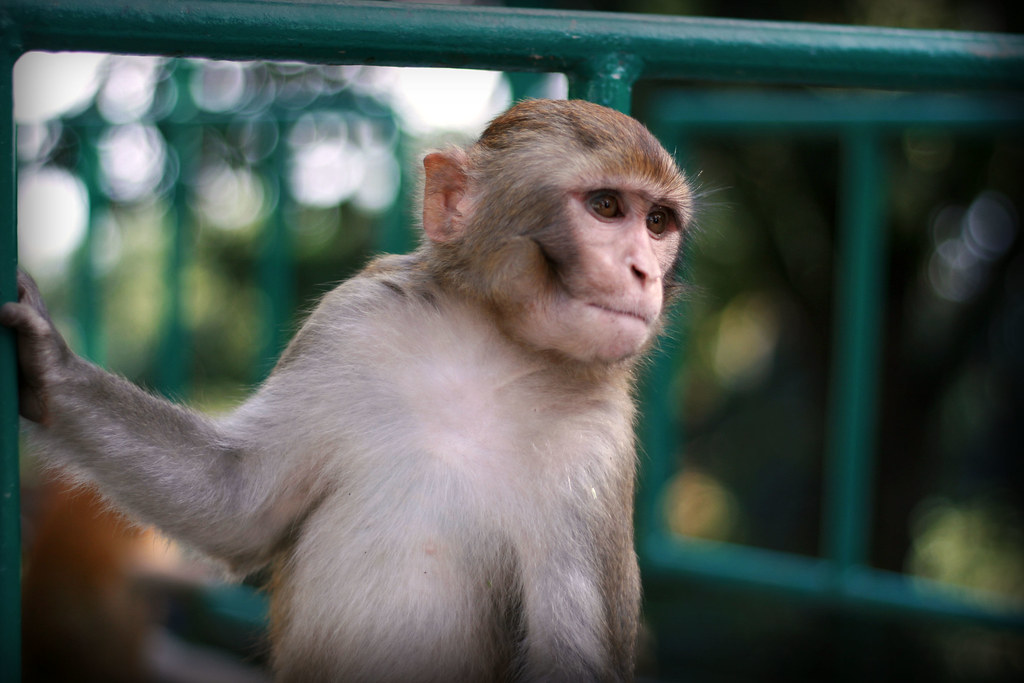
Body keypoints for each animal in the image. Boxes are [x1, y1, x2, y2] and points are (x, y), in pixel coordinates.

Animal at [1, 98, 694, 682]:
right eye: (607, 207)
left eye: (658, 222)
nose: (642, 271)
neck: (491, 352)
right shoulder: (352, 322)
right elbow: (236, 500)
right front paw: (47, 364)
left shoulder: (595, 445)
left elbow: (570, 657)